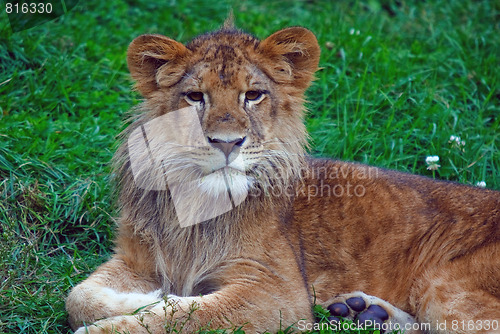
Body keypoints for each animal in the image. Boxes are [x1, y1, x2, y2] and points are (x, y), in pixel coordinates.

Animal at [67, 24, 500, 334]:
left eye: (253, 95)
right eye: (195, 97)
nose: (227, 143)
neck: (197, 205)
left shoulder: (278, 294)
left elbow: (186, 318)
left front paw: (152, 307)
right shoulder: (134, 258)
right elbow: (78, 296)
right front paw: (148, 298)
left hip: (445, 288)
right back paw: (363, 312)